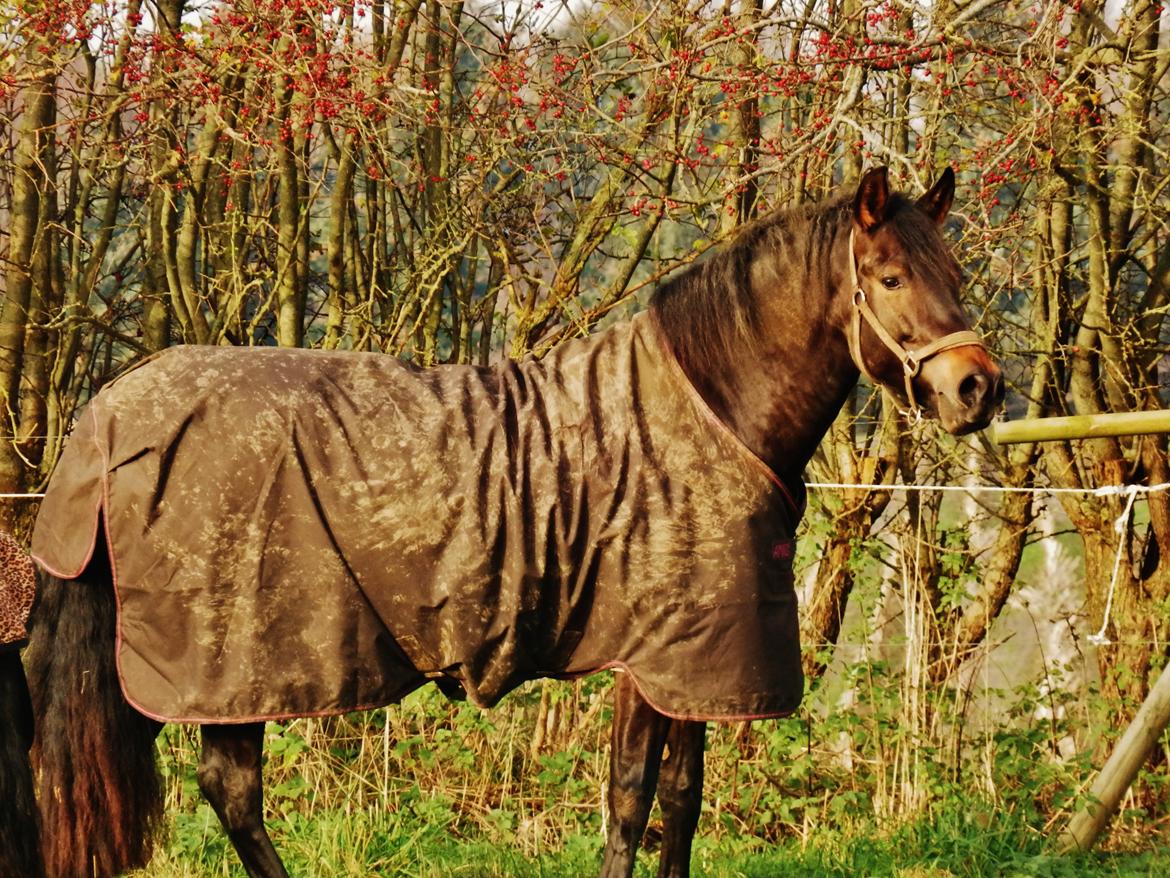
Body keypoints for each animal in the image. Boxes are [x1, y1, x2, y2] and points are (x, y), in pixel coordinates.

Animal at [22, 166, 1001, 878]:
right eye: (889, 277)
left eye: (957, 276)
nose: (977, 389)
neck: (708, 408)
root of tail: (112, 408)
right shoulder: (651, 656)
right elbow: (632, 798)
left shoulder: (696, 663)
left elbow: (680, 801)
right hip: (232, 664)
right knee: (231, 789)